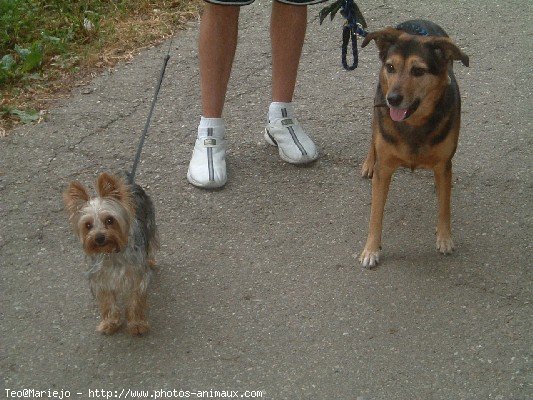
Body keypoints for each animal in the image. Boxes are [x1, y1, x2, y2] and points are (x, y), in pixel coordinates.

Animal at [62, 172, 158, 334]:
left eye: (109, 220)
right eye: (88, 225)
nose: (99, 238)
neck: (111, 252)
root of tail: (130, 183)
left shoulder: (137, 277)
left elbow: (135, 300)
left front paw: (137, 324)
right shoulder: (101, 279)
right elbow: (108, 301)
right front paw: (110, 322)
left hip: (150, 222)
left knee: (150, 242)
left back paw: (150, 260)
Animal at [358, 19, 470, 268]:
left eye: (418, 71)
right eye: (390, 67)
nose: (393, 99)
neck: (413, 123)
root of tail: (416, 21)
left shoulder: (443, 165)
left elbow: (444, 206)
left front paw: (444, 238)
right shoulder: (384, 168)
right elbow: (375, 214)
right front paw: (370, 249)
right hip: (377, 104)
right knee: (373, 130)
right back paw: (369, 162)